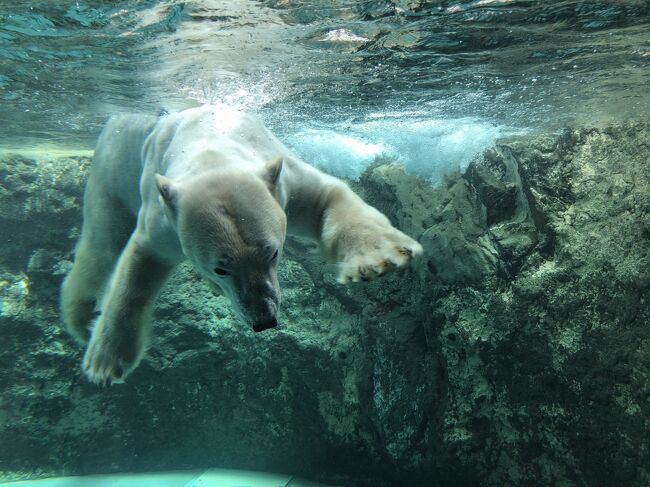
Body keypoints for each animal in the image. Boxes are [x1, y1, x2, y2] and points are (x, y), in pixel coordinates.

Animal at [60, 106, 420, 386]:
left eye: (273, 252)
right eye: (221, 267)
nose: (264, 320)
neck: (210, 145)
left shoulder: (283, 179)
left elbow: (328, 195)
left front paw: (377, 261)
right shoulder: (164, 219)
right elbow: (136, 269)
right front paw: (105, 362)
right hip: (111, 171)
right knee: (101, 244)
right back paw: (80, 318)